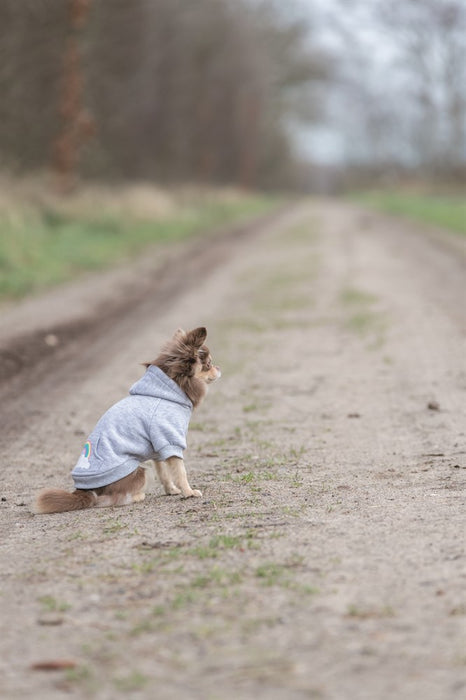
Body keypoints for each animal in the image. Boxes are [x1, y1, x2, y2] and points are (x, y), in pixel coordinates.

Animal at [34, 328, 220, 516]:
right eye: (209, 364)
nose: (219, 368)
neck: (170, 389)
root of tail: (83, 491)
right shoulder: (170, 440)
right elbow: (181, 472)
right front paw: (189, 492)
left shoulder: (158, 447)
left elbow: (164, 473)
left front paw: (171, 490)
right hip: (141, 472)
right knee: (108, 499)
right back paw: (137, 496)